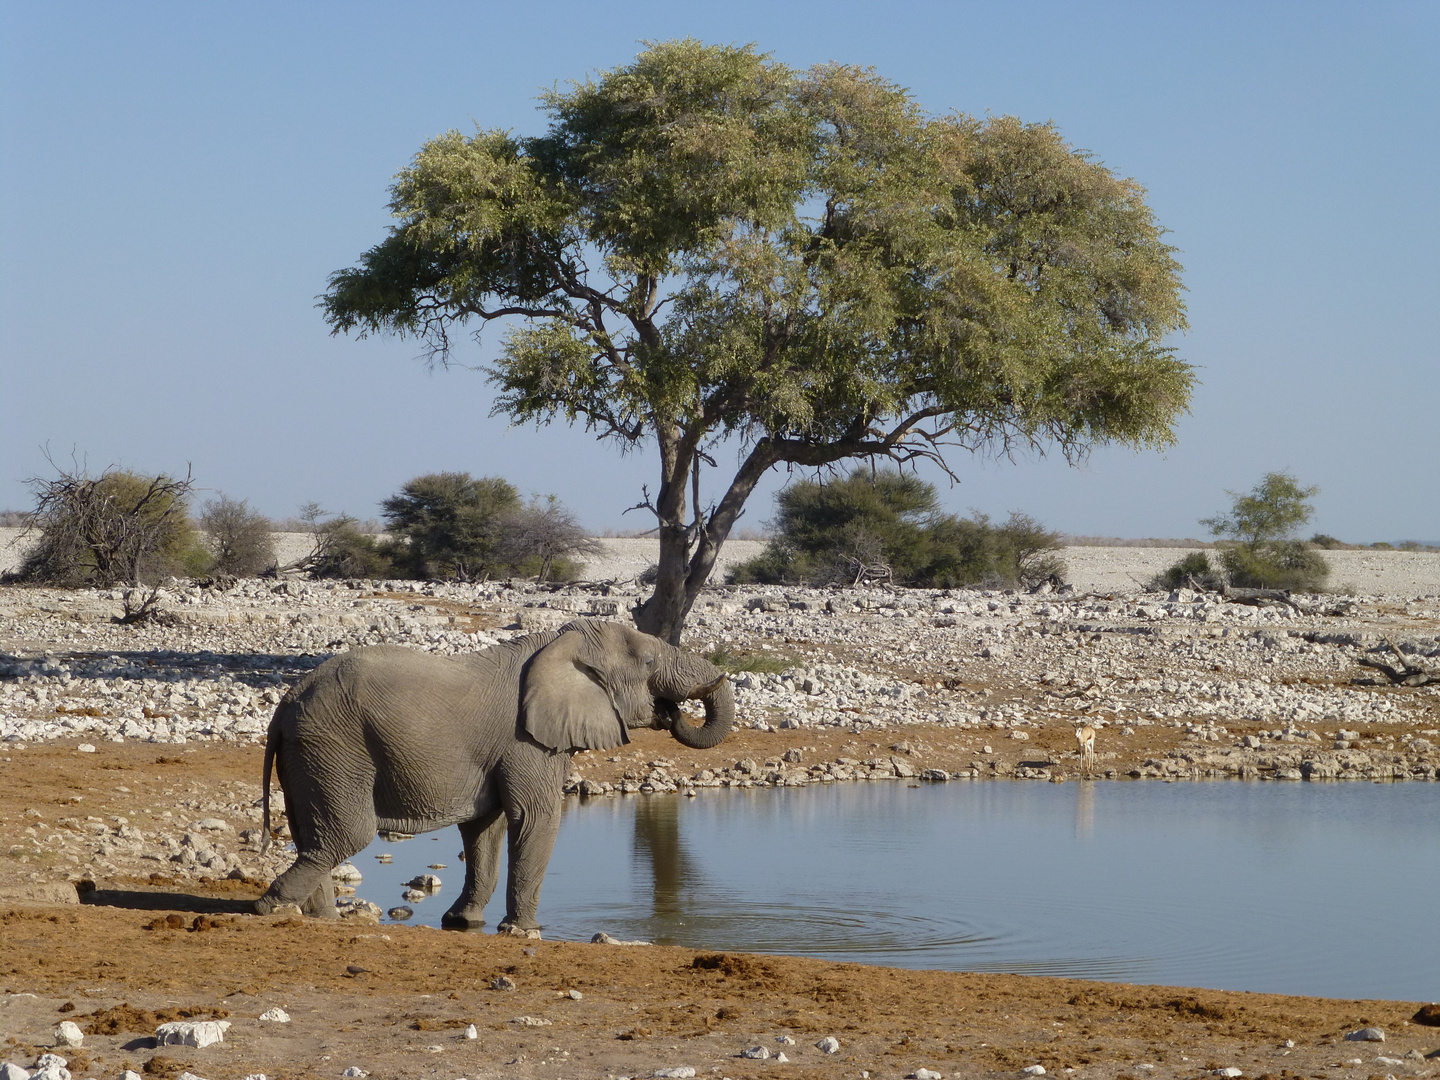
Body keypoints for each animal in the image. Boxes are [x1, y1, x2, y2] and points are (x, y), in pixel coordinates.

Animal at [249, 622, 737, 933]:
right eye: (650, 661)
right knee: (346, 834)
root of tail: (284, 706)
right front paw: (523, 931)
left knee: (313, 836)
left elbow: (485, 827)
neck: (558, 642)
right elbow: (535, 818)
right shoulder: (526, 741)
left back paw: (320, 919)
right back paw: (268, 907)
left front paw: (462, 923)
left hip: (310, 755)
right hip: (335, 747)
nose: (671, 712)